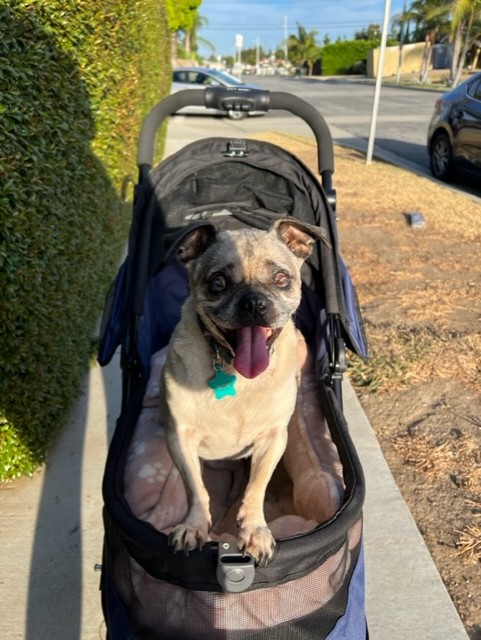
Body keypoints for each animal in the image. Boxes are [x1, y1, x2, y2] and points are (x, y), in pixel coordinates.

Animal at [159, 216, 328, 564]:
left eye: (282, 279)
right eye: (218, 283)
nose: (253, 302)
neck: (235, 373)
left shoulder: (272, 439)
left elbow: (257, 486)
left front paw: (254, 529)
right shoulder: (180, 438)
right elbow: (196, 488)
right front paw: (194, 526)